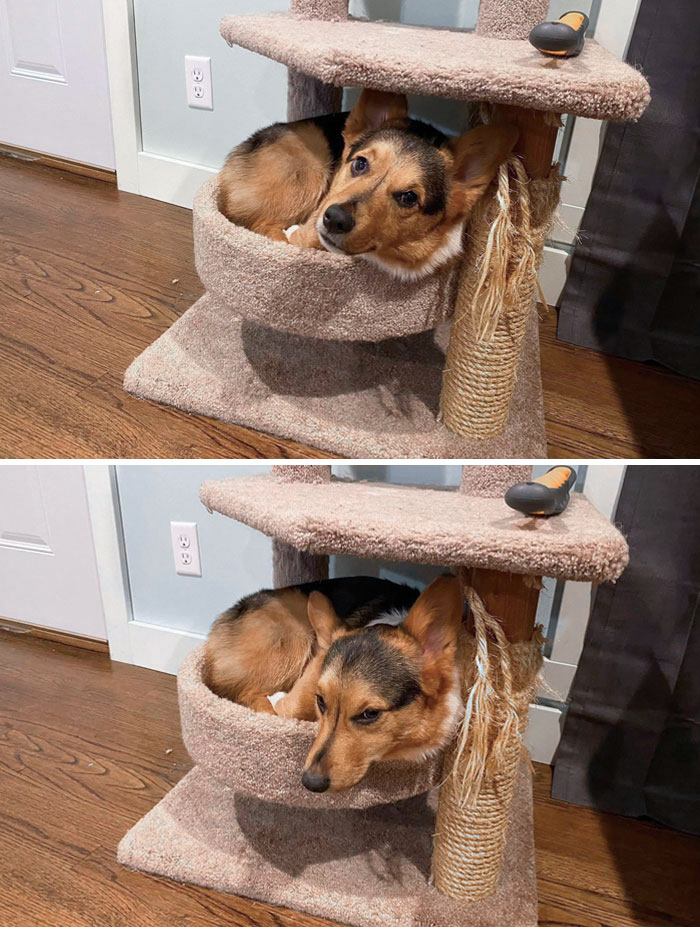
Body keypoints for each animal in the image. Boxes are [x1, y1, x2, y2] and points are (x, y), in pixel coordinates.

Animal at [202, 576, 464, 792]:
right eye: (321, 701)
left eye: (370, 714)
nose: (310, 783)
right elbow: (286, 707)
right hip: (296, 635)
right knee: (249, 692)